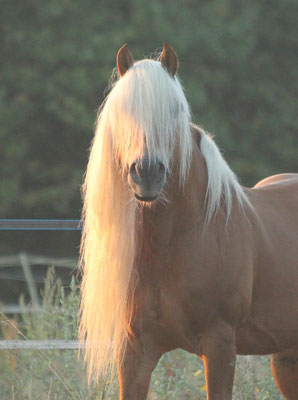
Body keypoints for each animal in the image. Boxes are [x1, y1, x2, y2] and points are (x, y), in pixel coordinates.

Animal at [78, 42, 298, 398]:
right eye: (124, 111)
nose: (147, 173)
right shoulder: (134, 353)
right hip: (286, 359)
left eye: (175, 111)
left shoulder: (220, 346)